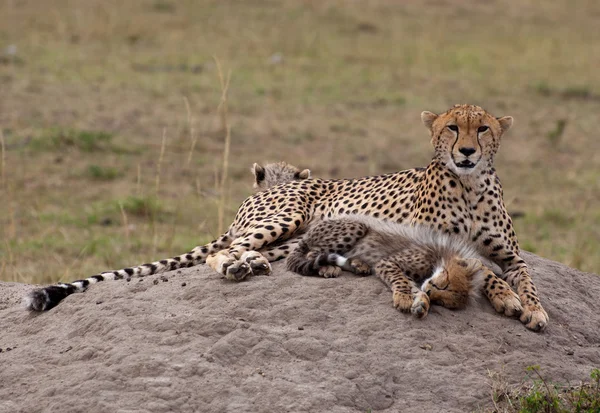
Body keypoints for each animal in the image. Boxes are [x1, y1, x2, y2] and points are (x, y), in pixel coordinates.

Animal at [27, 104, 548, 332]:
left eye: (483, 128)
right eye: (451, 128)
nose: (466, 152)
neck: (470, 186)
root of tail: (263, 191)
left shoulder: (509, 255)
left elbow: (521, 276)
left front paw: (532, 308)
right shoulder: (430, 246)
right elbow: (483, 273)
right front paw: (509, 301)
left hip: (292, 237)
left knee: (255, 253)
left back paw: (259, 266)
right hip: (286, 217)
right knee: (225, 252)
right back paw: (239, 267)